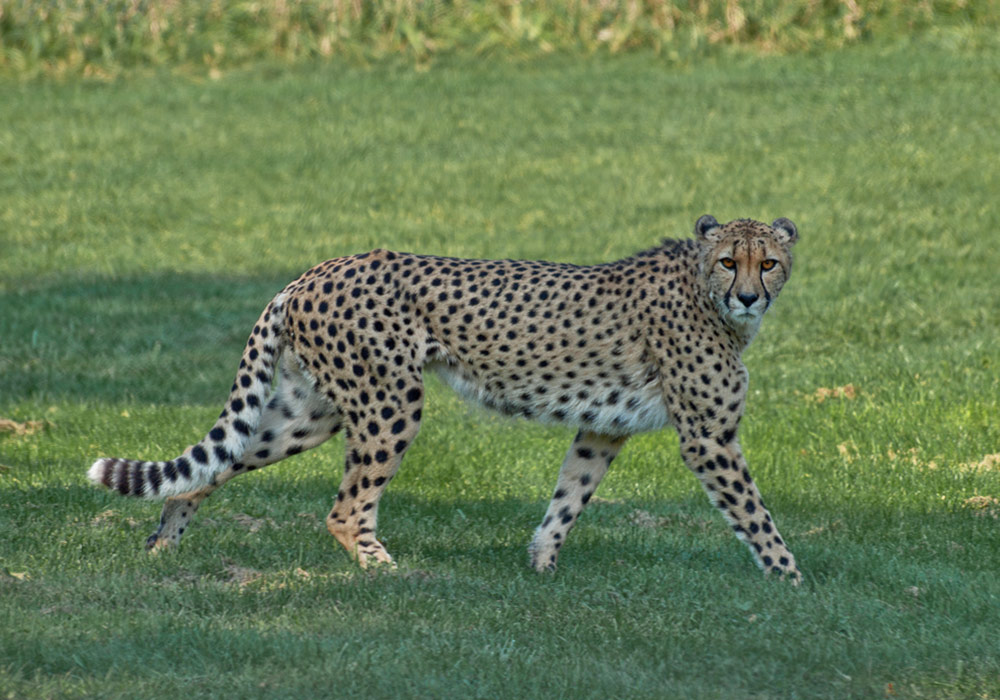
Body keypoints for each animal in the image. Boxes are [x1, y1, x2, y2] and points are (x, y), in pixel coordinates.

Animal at [88, 214, 801, 581]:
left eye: (767, 263)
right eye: (729, 262)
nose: (748, 295)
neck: (703, 290)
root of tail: (315, 270)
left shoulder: (603, 427)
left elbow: (569, 495)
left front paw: (541, 563)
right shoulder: (709, 438)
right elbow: (754, 513)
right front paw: (792, 580)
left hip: (309, 413)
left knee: (213, 466)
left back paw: (163, 544)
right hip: (388, 402)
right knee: (345, 509)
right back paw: (388, 571)